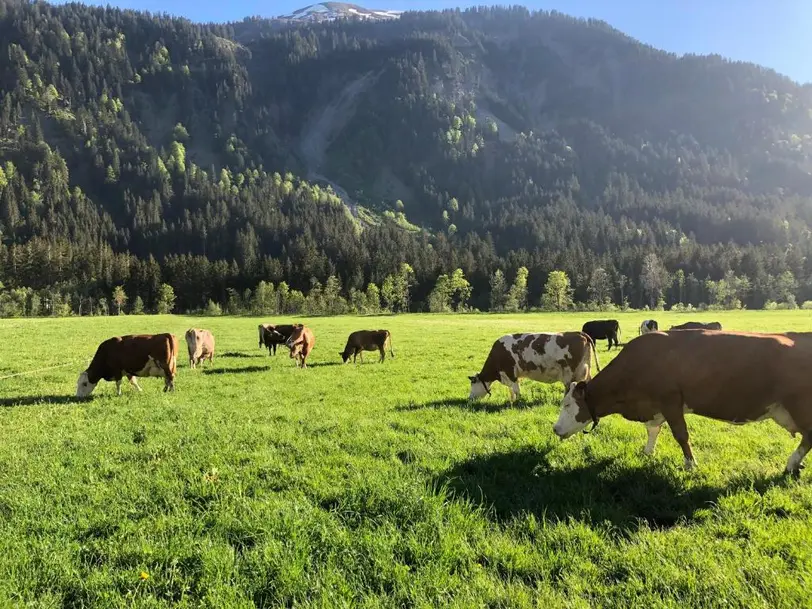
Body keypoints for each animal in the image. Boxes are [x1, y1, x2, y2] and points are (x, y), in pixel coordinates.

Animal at [466, 332, 600, 404]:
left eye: (472, 384)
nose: (470, 398)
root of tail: (579, 333)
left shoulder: (510, 373)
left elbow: (516, 390)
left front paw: (517, 402)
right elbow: (512, 391)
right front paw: (512, 401)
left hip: (571, 372)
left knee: (570, 387)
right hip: (585, 369)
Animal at [556, 328, 812, 476]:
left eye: (567, 405)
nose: (555, 429)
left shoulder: (671, 402)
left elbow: (681, 435)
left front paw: (690, 464)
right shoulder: (654, 407)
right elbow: (653, 430)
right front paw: (647, 452)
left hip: (798, 406)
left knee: (809, 436)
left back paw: (791, 463)